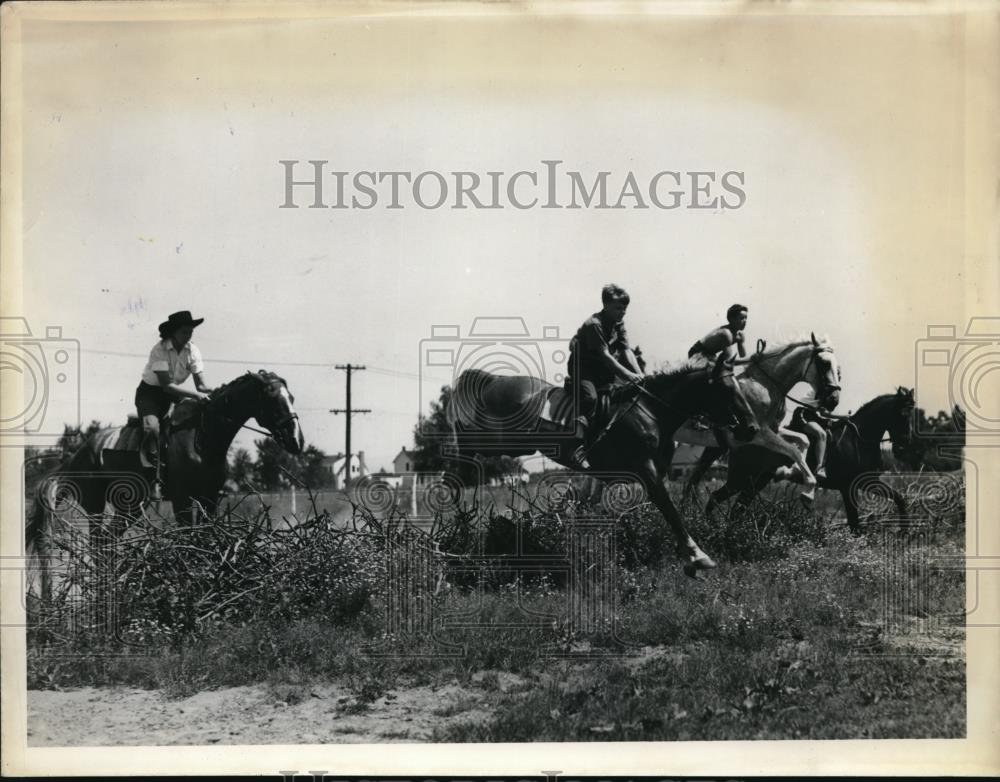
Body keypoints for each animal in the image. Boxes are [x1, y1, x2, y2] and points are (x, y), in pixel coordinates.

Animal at [25, 370, 302, 604]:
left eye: (292, 397)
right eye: (273, 399)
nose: (296, 440)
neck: (202, 435)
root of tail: (76, 457)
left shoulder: (209, 498)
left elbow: (205, 536)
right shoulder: (182, 499)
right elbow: (189, 536)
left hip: (129, 506)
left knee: (106, 541)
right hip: (98, 504)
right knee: (98, 541)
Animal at [672, 334, 844, 506]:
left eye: (838, 369)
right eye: (824, 364)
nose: (833, 400)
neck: (765, 385)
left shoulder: (772, 429)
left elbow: (802, 440)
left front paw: (794, 472)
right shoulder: (758, 433)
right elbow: (793, 449)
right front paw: (808, 490)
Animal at [684, 388, 916, 532]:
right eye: (903, 413)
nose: (903, 447)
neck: (858, 439)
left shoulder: (867, 482)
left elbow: (899, 498)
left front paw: (905, 532)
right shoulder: (848, 487)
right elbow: (854, 524)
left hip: (756, 481)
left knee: (733, 507)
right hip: (742, 478)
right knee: (718, 500)